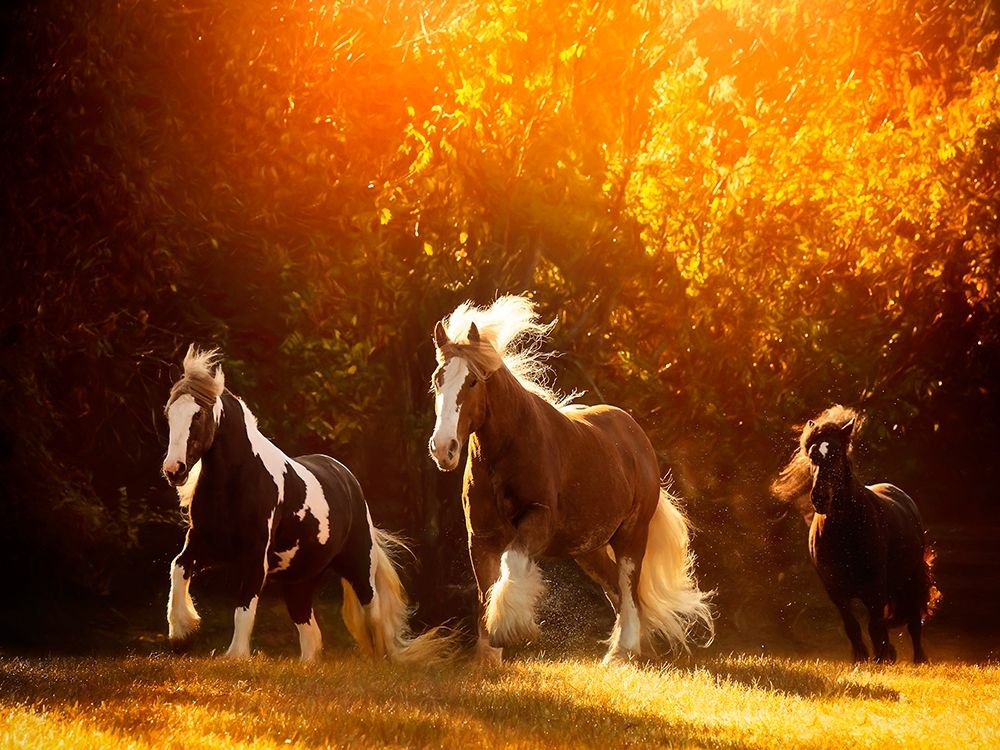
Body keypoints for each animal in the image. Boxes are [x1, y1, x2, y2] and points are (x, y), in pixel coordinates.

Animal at [161, 346, 452, 663]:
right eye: (169, 414)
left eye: (198, 415)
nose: (173, 470)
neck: (237, 482)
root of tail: (348, 480)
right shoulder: (203, 543)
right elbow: (177, 568)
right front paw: (182, 633)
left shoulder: (254, 556)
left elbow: (244, 608)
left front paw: (235, 656)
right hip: (298, 582)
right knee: (311, 633)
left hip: (359, 565)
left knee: (373, 616)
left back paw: (380, 660)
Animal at [426, 295, 714, 665]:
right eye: (437, 379)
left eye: (473, 380)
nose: (443, 448)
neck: (507, 451)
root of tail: (637, 439)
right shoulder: (481, 537)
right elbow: (485, 592)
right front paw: (487, 659)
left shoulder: (538, 520)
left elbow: (512, 564)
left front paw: (509, 627)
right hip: (590, 550)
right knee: (617, 590)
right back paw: (634, 649)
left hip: (631, 535)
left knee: (629, 588)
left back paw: (623, 652)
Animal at [772, 405, 941, 664]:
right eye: (813, 456)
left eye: (837, 454)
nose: (820, 498)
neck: (845, 530)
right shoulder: (836, 590)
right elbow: (852, 626)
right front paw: (862, 658)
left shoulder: (875, 585)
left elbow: (875, 625)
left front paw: (882, 658)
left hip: (910, 579)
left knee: (913, 620)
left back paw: (919, 658)